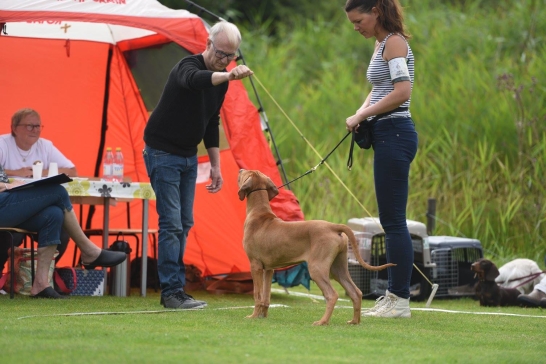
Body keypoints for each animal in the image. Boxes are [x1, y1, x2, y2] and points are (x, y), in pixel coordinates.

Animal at [236, 169, 394, 326]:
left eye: (247, 172)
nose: (240, 169)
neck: (259, 214)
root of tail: (333, 226)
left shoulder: (256, 265)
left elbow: (257, 294)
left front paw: (253, 316)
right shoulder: (269, 269)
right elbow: (265, 296)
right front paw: (262, 316)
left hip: (317, 268)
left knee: (332, 295)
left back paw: (322, 321)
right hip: (338, 268)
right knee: (356, 292)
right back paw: (354, 321)